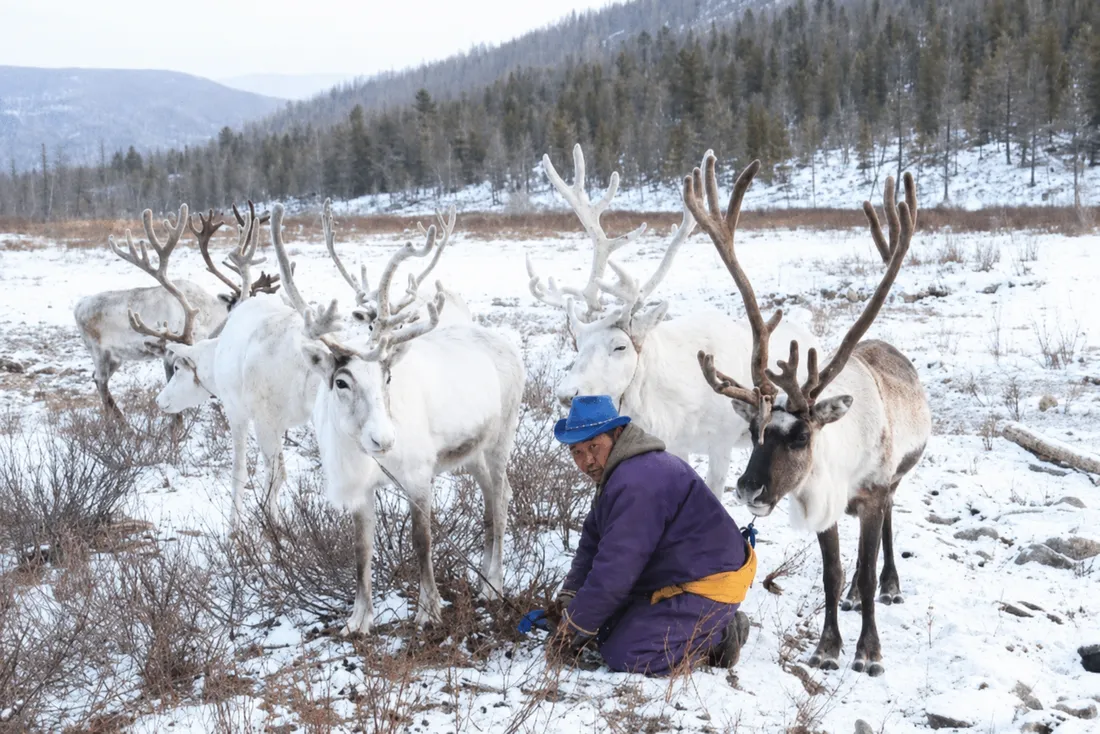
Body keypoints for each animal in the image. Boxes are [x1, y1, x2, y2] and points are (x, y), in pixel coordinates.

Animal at [76, 204, 279, 417]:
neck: (209, 316)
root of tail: (78, 306)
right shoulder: (168, 353)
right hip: (100, 353)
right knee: (100, 381)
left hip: (116, 357)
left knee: (97, 379)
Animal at [296, 206, 525, 636]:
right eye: (341, 381)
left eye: (387, 377)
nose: (384, 439)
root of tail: (506, 343)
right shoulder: (361, 490)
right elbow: (361, 548)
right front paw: (358, 619)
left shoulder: (419, 474)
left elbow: (423, 539)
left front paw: (428, 611)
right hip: (473, 454)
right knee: (492, 500)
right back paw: (486, 577)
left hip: (501, 438)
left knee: (502, 500)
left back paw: (493, 585)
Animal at [527, 144, 818, 498]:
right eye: (577, 343)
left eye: (620, 346)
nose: (567, 394)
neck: (665, 407)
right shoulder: (676, 444)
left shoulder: (720, 442)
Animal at [689, 153, 931, 677]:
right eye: (754, 431)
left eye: (801, 436)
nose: (748, 488)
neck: (839, 467)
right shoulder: (827, 509)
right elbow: (833, 572)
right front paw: (827, 647)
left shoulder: (872, 492)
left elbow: (864, 568)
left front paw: (868, 653)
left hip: (896, 479)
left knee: (886, 532)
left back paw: (890, 586)